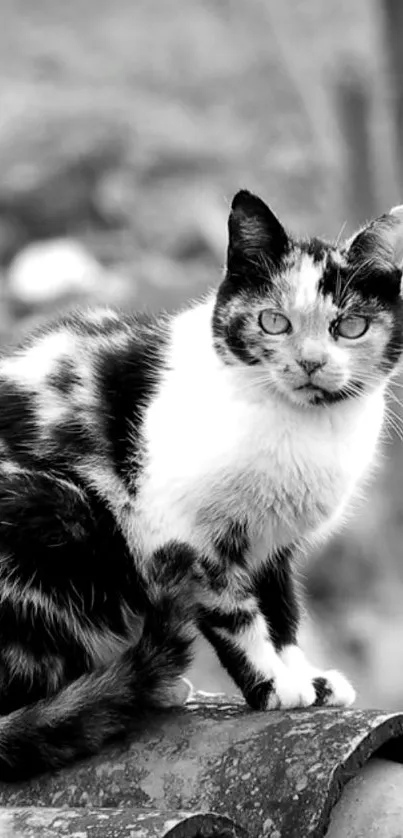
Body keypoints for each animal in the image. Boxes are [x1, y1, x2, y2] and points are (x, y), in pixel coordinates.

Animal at [0, 189, 400, 780]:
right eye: (273, 321)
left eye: (350, 327)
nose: (310, 362)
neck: (303, 428)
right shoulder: (183, 535)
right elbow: (237, 614)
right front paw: (274, 687)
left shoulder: (274, 544)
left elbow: (283, 612)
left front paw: (306, 677)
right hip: (54, 511)